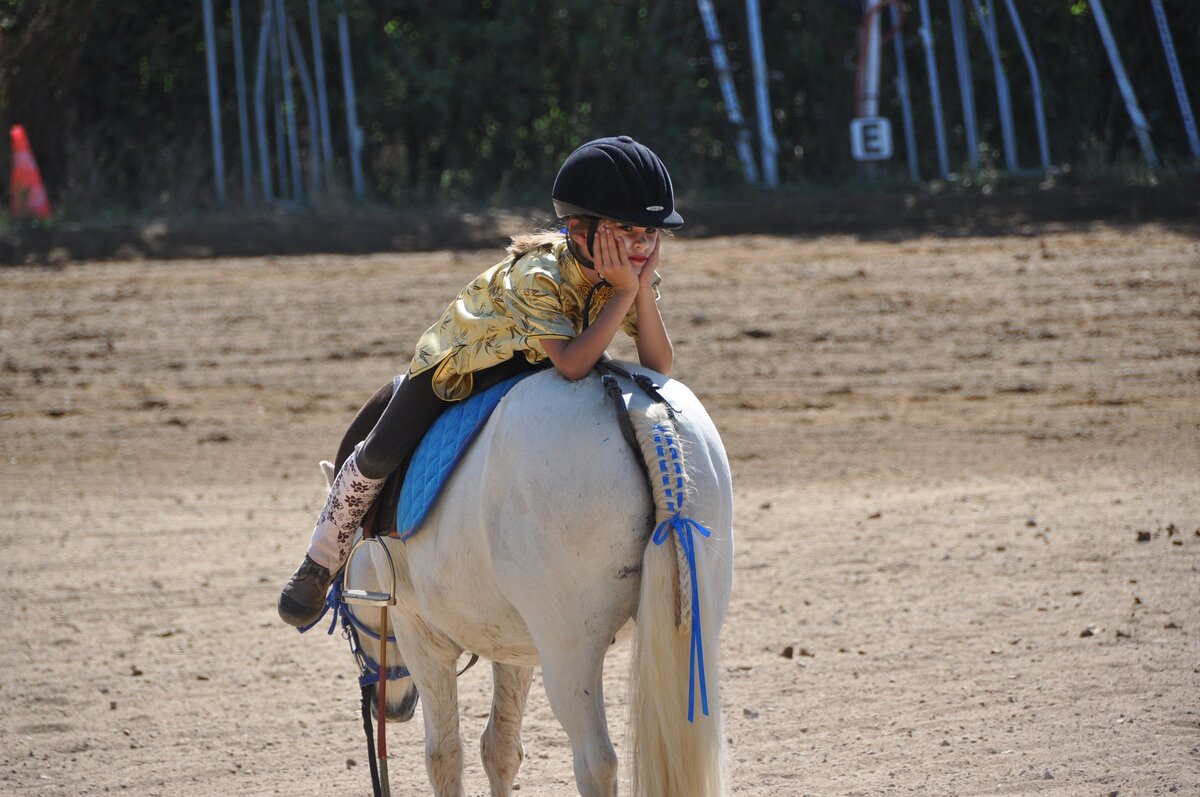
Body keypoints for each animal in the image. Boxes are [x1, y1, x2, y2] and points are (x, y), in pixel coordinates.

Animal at [336, 364, 729, 797]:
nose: (389, 708)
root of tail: (645, 414)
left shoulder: (420, 636)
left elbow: (443, 755)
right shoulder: (513, 647)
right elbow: (501, 748)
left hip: (569, 658)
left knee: (596, 763)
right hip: (690, 635)